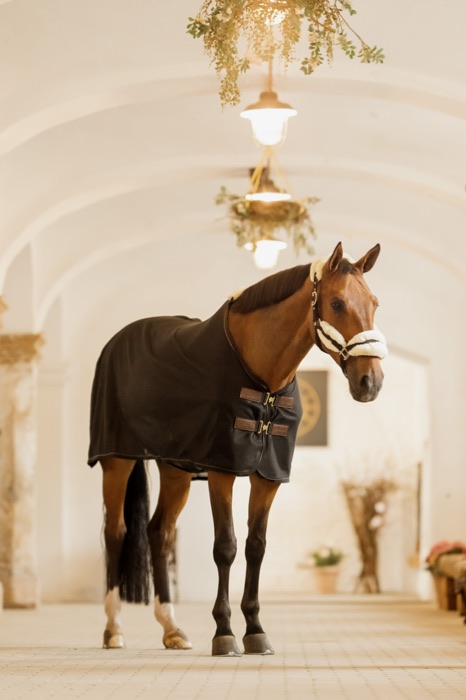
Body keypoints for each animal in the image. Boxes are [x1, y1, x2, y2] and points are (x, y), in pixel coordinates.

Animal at [87, 242, 387, 656]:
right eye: (338, 303)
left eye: (374, 302)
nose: (370, 381)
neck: (264, 376)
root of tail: (118, 340)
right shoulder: (222, 470)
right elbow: (226, 546)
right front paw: (225, 632)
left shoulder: (268, 476)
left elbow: (255, 547)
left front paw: (256, 630)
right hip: (116, 461)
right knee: (116, 533)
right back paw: (113, 628)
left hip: (175, 469)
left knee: (159, 533)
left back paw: (172, 628)